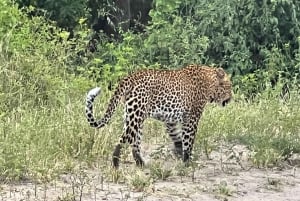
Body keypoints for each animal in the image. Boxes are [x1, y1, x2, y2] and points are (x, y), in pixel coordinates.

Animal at [84, 64, 232, 168]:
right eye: (229, 87)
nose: (231, 99)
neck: (209, 82)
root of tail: (130, 77)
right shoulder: (191, 119)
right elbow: (188, 141)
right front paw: (187, 162)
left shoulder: (171, 121)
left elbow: (177, 138)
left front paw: (180, 156)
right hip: (135, 116)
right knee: (122, 140)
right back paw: (115, 165)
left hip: (133, 115)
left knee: (134, 142)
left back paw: (141, 164)